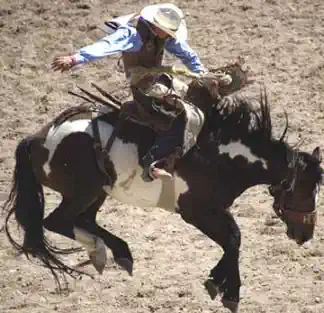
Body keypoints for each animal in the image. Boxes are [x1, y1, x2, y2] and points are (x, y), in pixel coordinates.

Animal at [2, 61, 324, 312]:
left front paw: (219, 284)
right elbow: (234, 239)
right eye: (305, 187)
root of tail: (35, 139)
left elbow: (233, 240)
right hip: (83, 192)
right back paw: (104, 251)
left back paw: (111, 253)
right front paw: (226, 291)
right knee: (57, 221)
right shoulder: (197, 211)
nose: (305, 234)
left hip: (97, 193)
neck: (219, 155)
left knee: (82, 220)